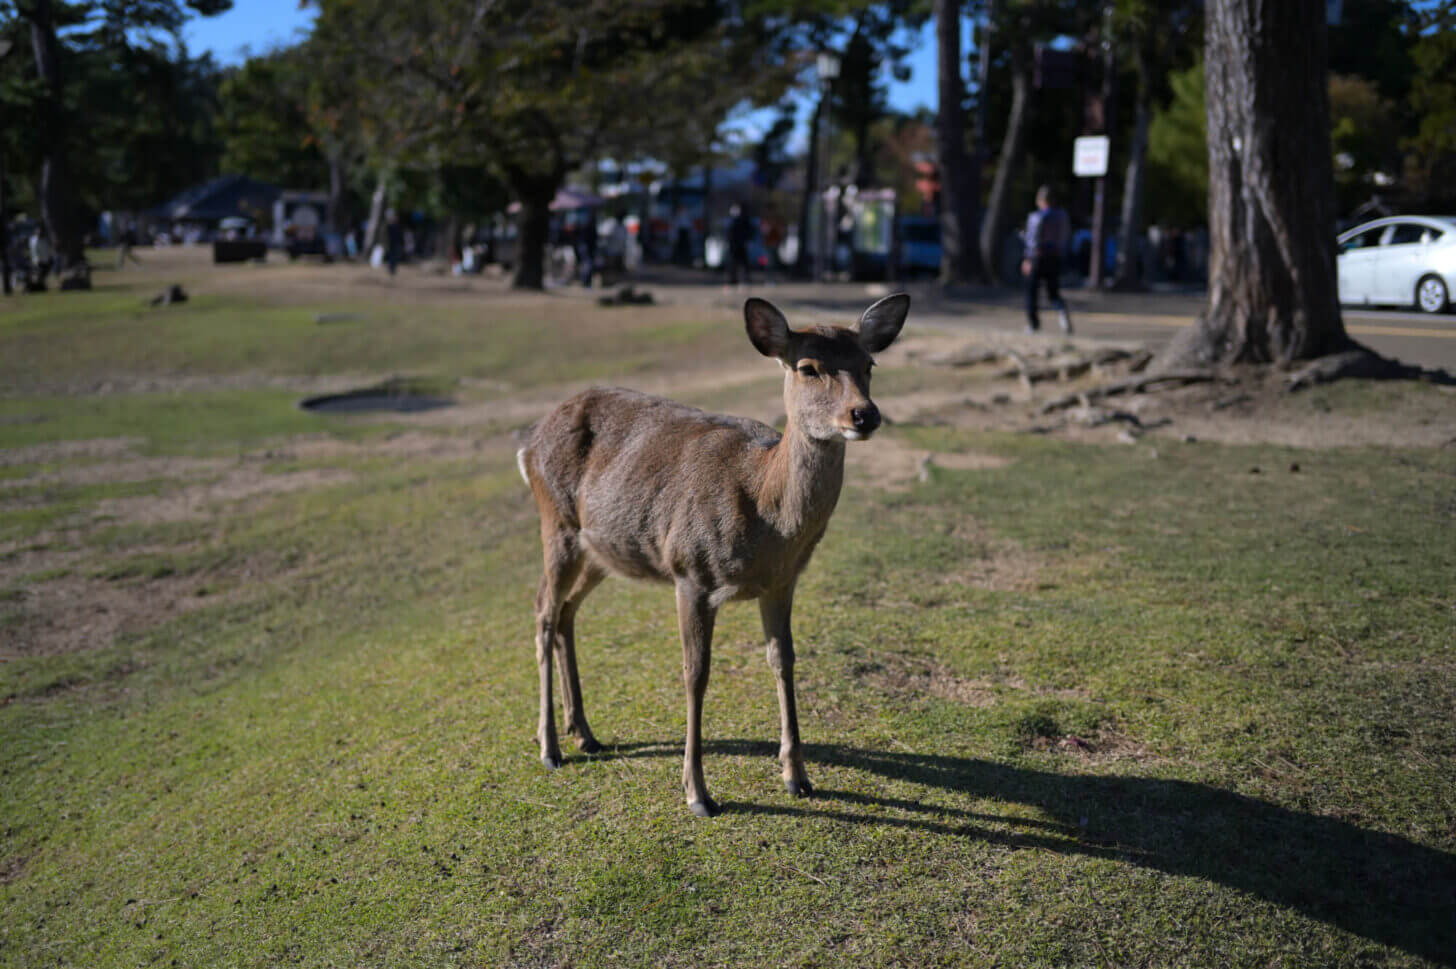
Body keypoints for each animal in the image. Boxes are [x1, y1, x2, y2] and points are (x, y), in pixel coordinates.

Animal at [515, 290, 908, 808]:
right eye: (808, 367)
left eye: (869, 363)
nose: (864, 414)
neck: (767, 515)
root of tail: (527, 444)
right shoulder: (690, 572)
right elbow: (695, 672)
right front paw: (697, 793)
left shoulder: (781, 581)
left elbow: (783, 661)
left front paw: (797, 777)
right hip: (556, 521)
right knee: (542, 608)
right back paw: (549, 747)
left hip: (604, 549)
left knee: (565, 613)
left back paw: (584, 732)